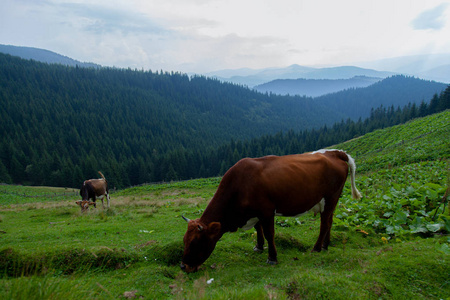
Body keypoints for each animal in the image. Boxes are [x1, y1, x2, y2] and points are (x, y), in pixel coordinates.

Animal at [180, 149, 362, 272]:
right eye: (184, 240)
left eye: (195, 242)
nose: (183, 266)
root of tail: (334, 152)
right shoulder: (255, 212)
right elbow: (258, 229)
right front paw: (259, 247)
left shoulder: (266, 211)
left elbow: (269, 233)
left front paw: (272, 257)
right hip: (333, 201)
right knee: (330, 220)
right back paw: (325, 246)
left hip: (330, 197)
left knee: (324, 223)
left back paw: (316, 248)